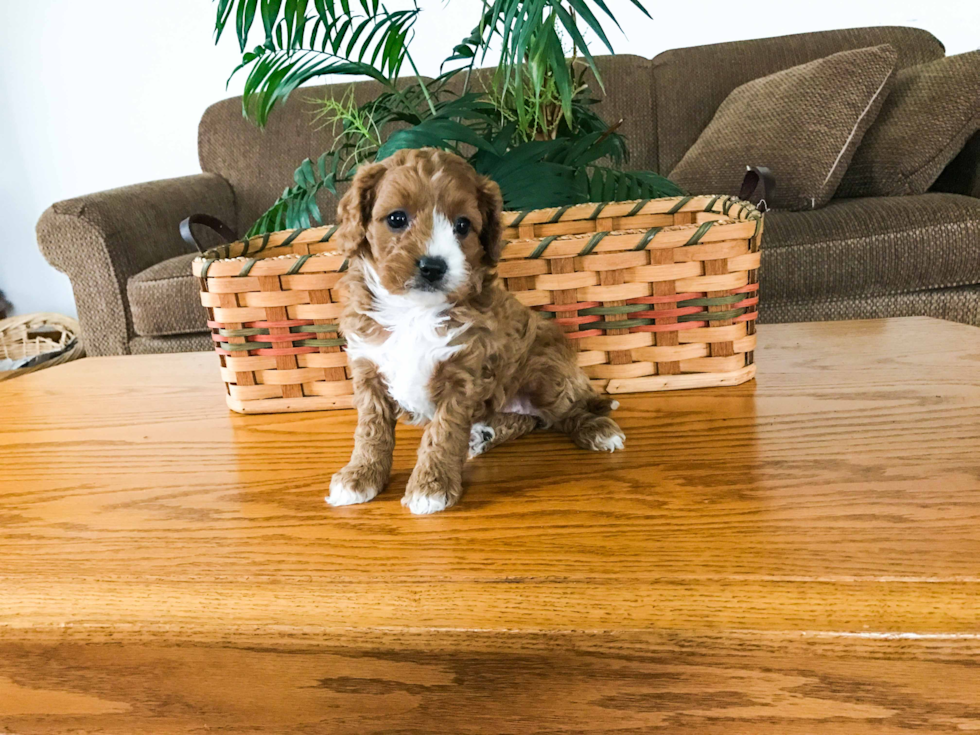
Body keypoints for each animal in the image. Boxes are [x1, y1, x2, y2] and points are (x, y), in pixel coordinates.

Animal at [326, 148, 624, 516]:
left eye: (462, 225)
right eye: (396, 219)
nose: (433, 266)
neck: (414, 311)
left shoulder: (462, 373)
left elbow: (442, 434)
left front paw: (431, 486)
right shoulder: (369, 369)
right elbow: (371, 431)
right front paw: (360, 476)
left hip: (545, 371)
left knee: (563, 412)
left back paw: (597, 429)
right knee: (530, 420)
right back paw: (485, 433)